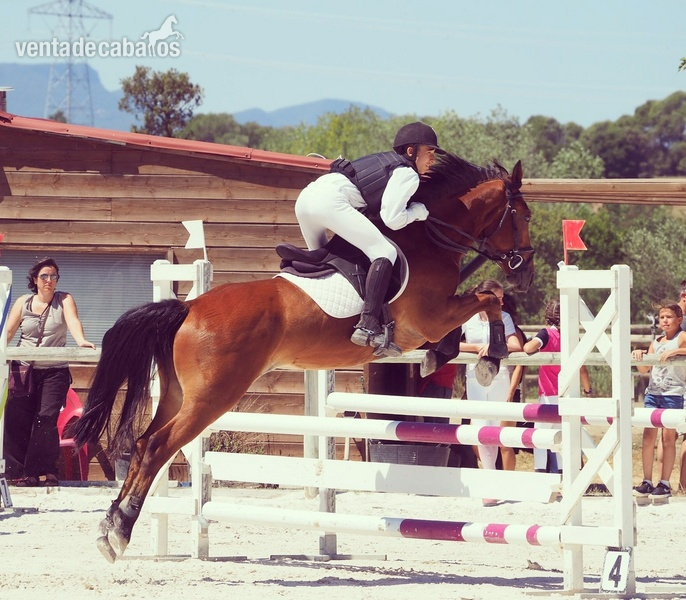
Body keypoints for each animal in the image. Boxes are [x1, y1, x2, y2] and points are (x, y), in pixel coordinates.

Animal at [73, 153, 535, 563]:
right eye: (525, 216)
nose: (525, 271)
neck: (431, 239)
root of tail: (187, 308)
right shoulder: (430, 317)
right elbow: (489, 299)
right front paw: (489, 359)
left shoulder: (432, 320)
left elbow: (478, 307)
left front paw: (441, 359)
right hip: (210, 399)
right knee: (157, 446)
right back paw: (121, 529)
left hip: (176, 394)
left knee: (142, 443)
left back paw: (109, 527)